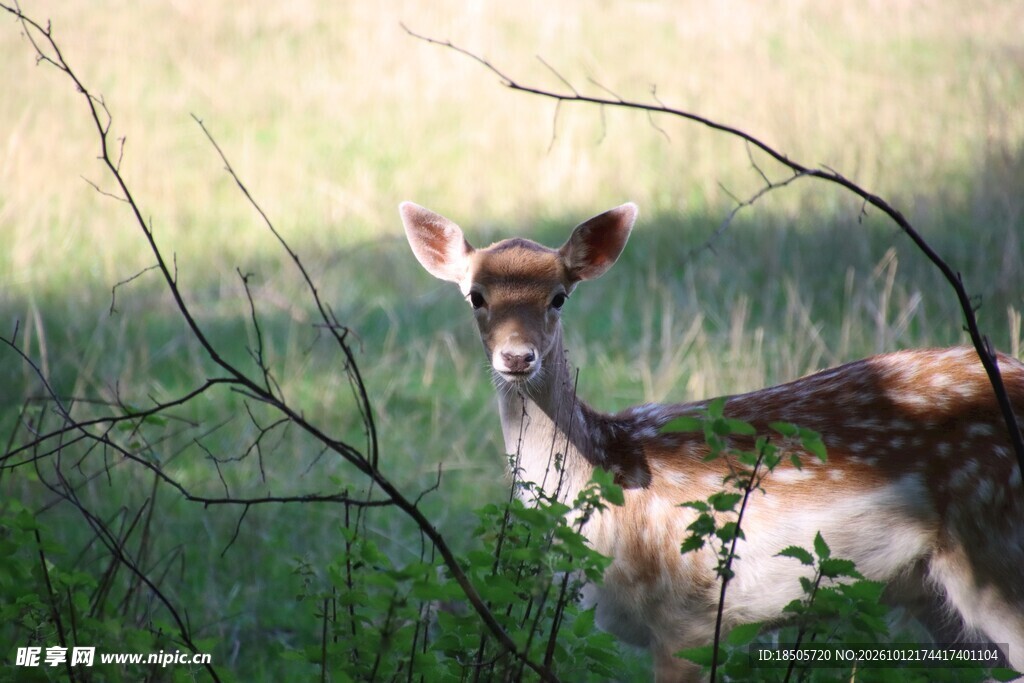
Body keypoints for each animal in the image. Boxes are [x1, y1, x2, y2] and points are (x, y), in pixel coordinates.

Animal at [399, 200, 1024, 682]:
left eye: (559, 296)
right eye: (476, 296)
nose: (517, 357)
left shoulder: (688, 618)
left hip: (997, 554)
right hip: (933, 595)